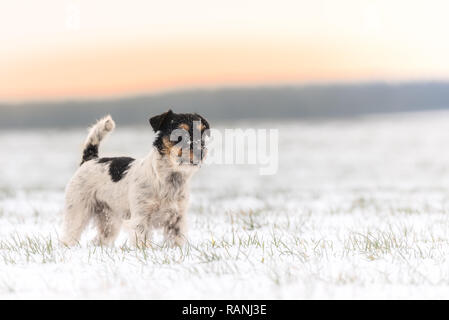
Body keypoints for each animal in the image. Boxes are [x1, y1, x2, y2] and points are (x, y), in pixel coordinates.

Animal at [59, 110, 210, 248]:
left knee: (98, 239)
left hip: (109, 221)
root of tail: (90, 159)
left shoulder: (177, 219)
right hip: (78, 212)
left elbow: (177, 241)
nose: (200, 151)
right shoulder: (140, 218)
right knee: (69, 236)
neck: (167, 178)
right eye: (179, 135)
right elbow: (141, 241)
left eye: (202, 133)